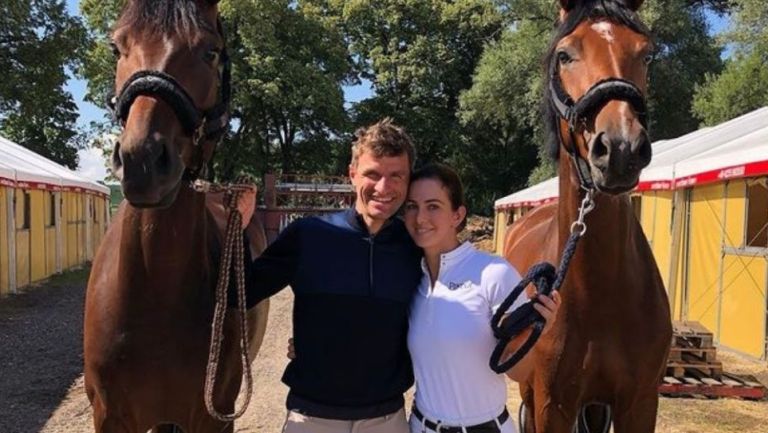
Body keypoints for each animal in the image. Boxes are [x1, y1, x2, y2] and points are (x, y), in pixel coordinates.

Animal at [500, 0, 668, 432]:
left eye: (646, 54)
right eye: (565, 55)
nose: (622, 148)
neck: (602, 295)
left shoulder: (640, 403)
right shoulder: (553, 403)